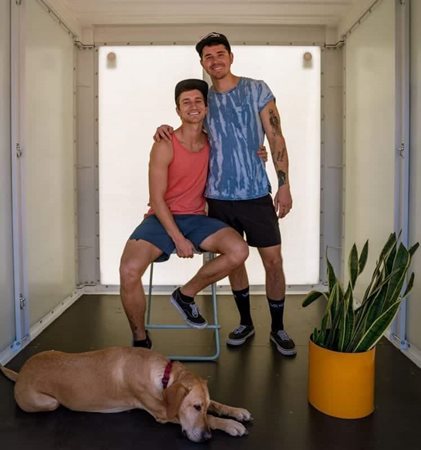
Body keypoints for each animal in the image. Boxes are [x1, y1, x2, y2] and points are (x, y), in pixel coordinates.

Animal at [0, 346, 251, 442]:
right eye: (195, 407)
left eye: (203, 405)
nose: (208, 438)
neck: (164, 375)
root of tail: (21, 373)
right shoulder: (163, 413)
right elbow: (212, 419)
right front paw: (230, 425)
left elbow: (218, 404)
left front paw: (235, 411)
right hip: (48, 402)